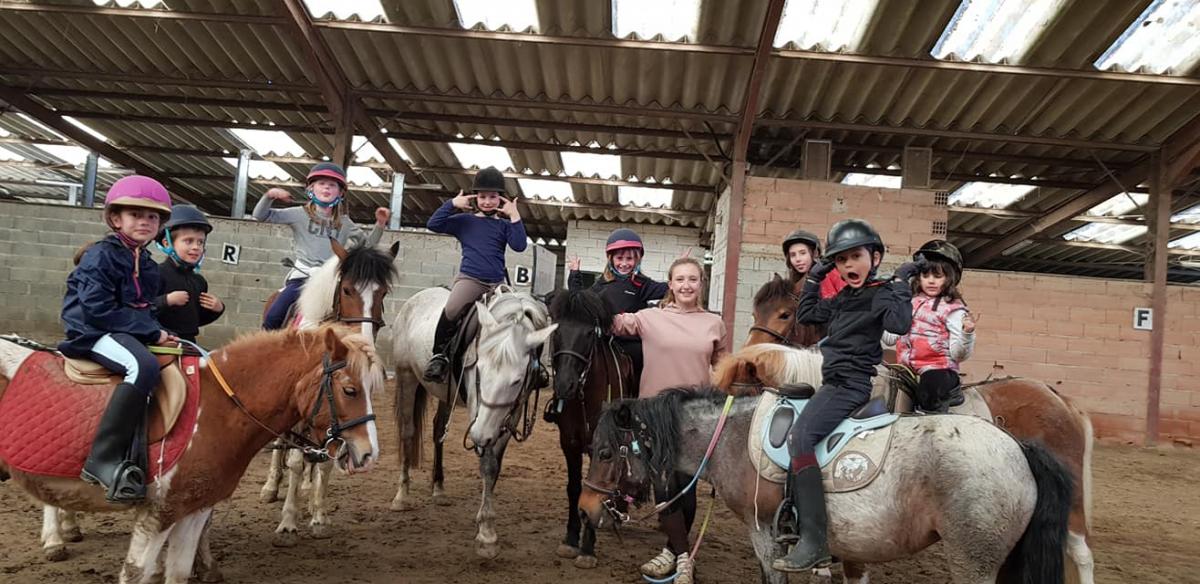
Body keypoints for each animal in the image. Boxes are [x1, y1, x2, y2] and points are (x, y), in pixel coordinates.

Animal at [391, 286, 554, 558]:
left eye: (517, 380)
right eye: (480, 368)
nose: (477, 435)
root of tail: (415, 298)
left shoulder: (510, 413)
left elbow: (494, 466)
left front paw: (484, 523)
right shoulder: (479, 411)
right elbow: (487, 463)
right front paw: (487, 535)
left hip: (446, 393)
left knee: (438, 431)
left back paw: (438, 489)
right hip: (406, 377)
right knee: (407, 433)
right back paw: (401, 496)